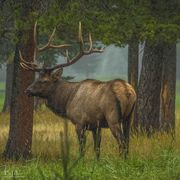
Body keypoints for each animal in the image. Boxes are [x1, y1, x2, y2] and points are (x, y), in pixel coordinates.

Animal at [19, 21, 136, 159]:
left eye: (44, 81)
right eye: (37, 77)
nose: (27, 90)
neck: (67, 101)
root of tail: (128, 91)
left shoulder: (79, 122)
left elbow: (82, 147)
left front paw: (81, 161)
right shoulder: (96, 125)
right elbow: (97, 148)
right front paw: (97, 162)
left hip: (113, 117)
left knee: (122, 141)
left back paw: (121, 160)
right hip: (129, 117)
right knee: (127, 141)